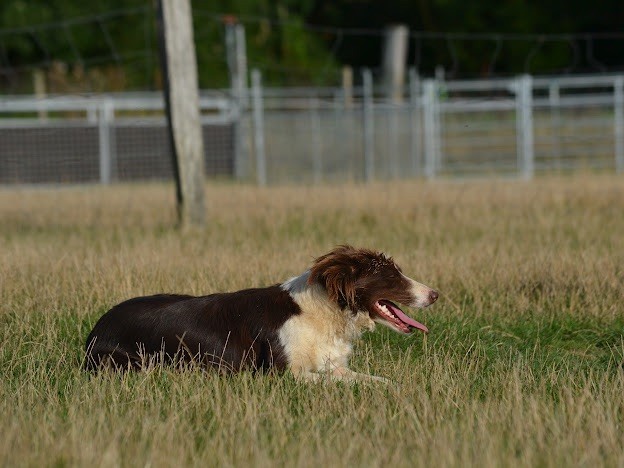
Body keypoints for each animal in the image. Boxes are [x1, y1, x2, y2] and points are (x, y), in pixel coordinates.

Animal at [84, 243, 438, 382]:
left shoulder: (334, 365)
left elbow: (377, 381)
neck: (324, 311)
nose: (434, 294)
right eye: (392, 277)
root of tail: (97, 328)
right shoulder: (284, 373)